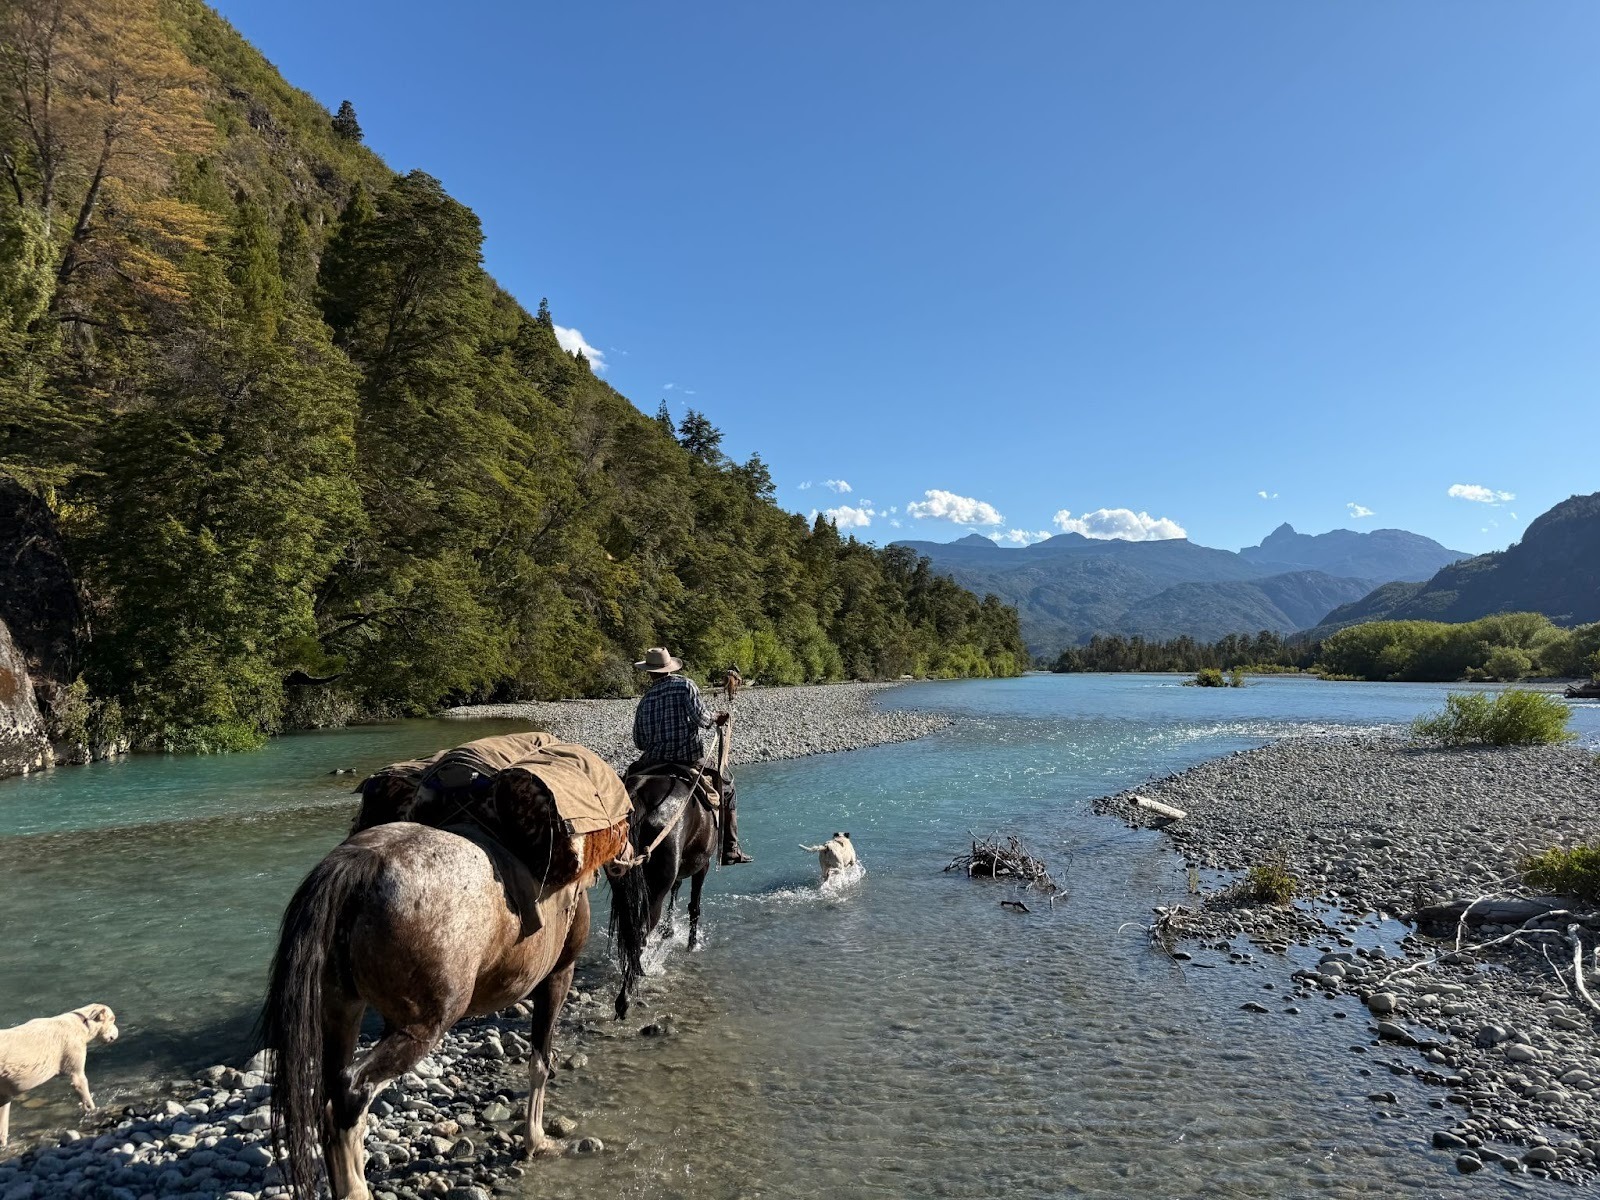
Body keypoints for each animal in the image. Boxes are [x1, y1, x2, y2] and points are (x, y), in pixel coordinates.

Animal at [262, 784, 626, 1200]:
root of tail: (361, 864)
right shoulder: (558, 978)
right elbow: (541, 1061)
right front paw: (537, 1141)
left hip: (341, 1012)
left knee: (328, 1097)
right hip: (423, 1026)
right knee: (351, 1093)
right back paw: (357, 1189)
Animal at [605, 763, 732, 1019]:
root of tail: (638, 795)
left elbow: (677, 890)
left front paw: (669, 930)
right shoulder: (702, 865)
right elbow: (694, 906)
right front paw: (692, 944)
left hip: (623, 883)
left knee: (630, 929)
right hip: (655, 888)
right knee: (640, 931)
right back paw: (625, 997)